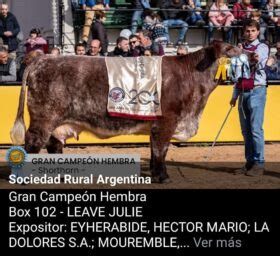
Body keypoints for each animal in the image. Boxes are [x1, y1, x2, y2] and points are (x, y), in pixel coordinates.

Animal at [10, 40, 256, 182]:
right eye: (232, 49)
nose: (254, 55)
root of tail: (43, 57)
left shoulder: (157, 124)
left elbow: (156, 150)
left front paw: (158, 174)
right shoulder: (166, 121)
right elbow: (161, 150)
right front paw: (163, 177)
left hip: (55, 121)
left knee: (53, 145)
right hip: (44, 117)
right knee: (33, 143)